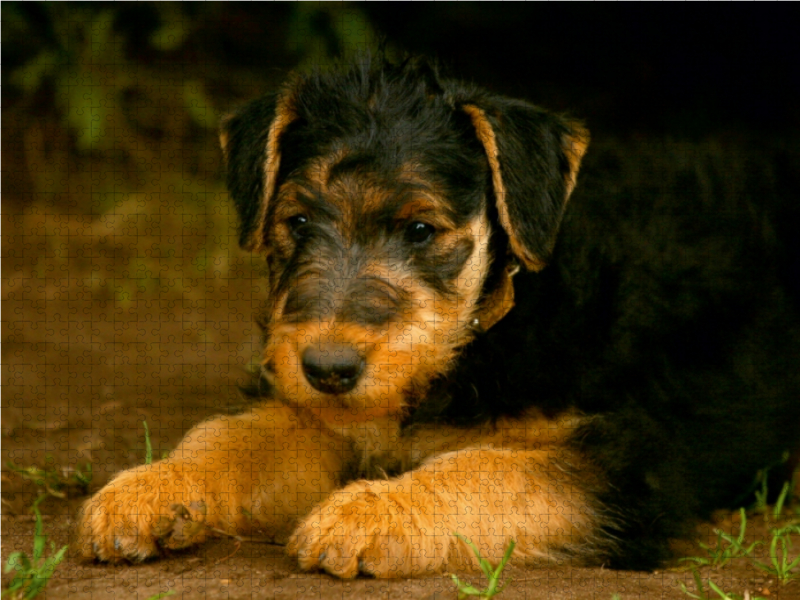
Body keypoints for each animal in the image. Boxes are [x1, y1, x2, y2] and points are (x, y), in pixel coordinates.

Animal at [78, 58, 800, 580]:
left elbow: (488, 470)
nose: (329, 369)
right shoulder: (327, 416)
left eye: (421, 230)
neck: (493, 323)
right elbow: (234, 436)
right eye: (299, 222)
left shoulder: (627, 464)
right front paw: (149, 490)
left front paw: (367, 513)